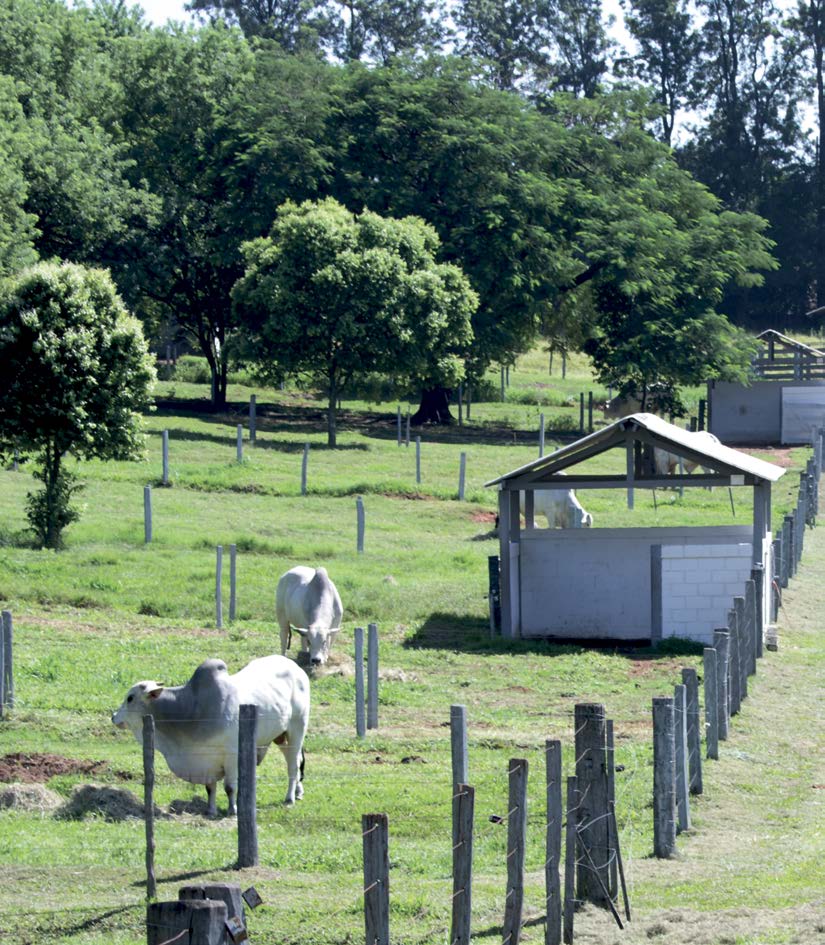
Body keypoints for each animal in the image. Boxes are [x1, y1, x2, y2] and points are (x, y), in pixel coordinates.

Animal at [111, 652, 310, 816]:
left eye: (130, 698)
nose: (114, 717)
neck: (190, 710)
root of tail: (296, 668)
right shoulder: (206, 760)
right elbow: (210, 788)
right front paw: (211, 811)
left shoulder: (232, 755)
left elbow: (229, 787)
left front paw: (232, 810)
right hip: (280, 736)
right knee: (295, 760)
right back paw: (299, 792)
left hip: (297, 729)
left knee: (293, 764)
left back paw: (289, 798)